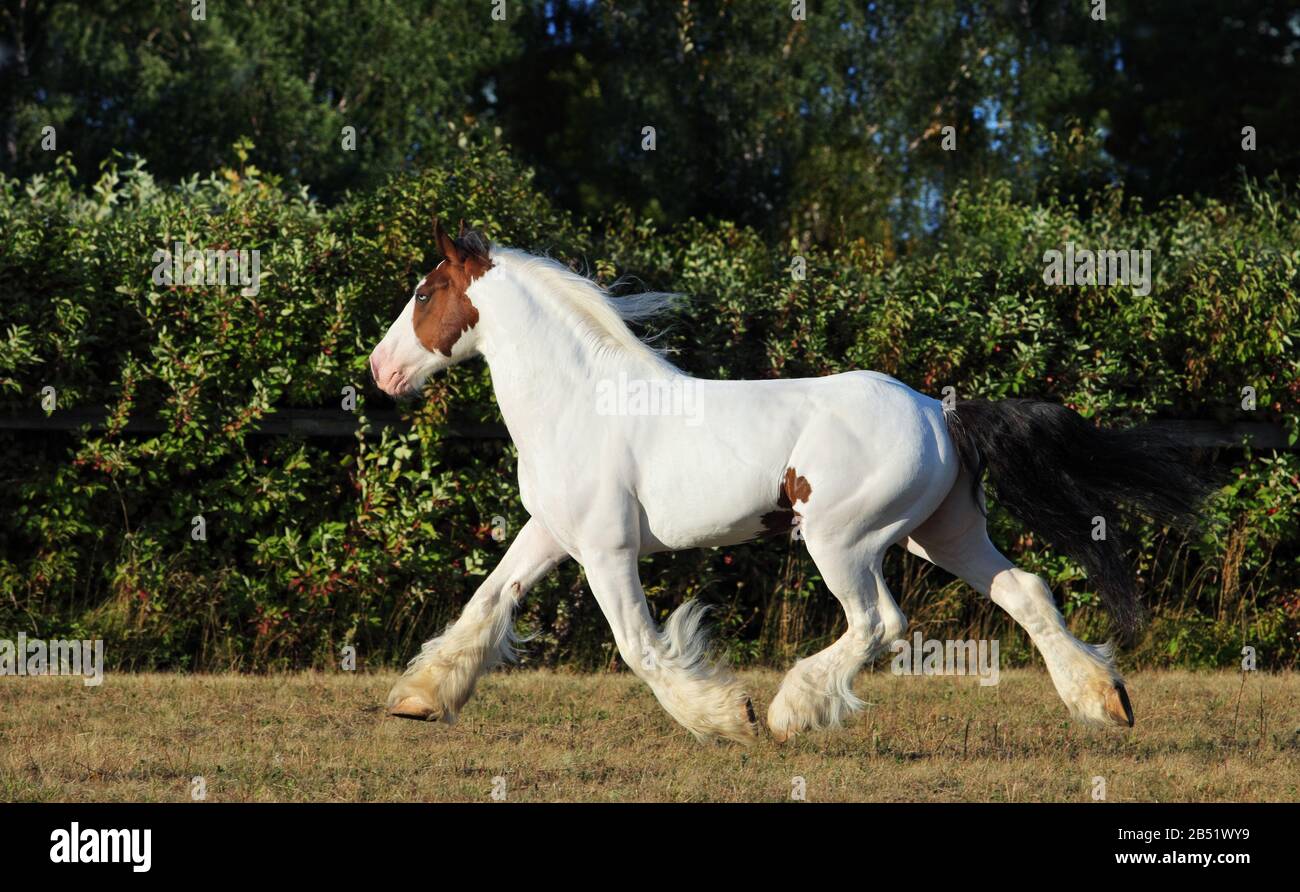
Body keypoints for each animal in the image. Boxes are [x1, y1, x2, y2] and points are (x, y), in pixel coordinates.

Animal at [367, 219, 1210, 743]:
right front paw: (416, 700)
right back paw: (1105, 703)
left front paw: (727, 718)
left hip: (843, 540)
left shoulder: (607, 551)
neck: (580, 402)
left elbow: (641, 647)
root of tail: (939, 411)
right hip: (942, 534)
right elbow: (485, 605)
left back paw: (788, 713)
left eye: (422, 294)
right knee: (1026, 592)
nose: (379, 371)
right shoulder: (550, 533)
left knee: (880, 623)